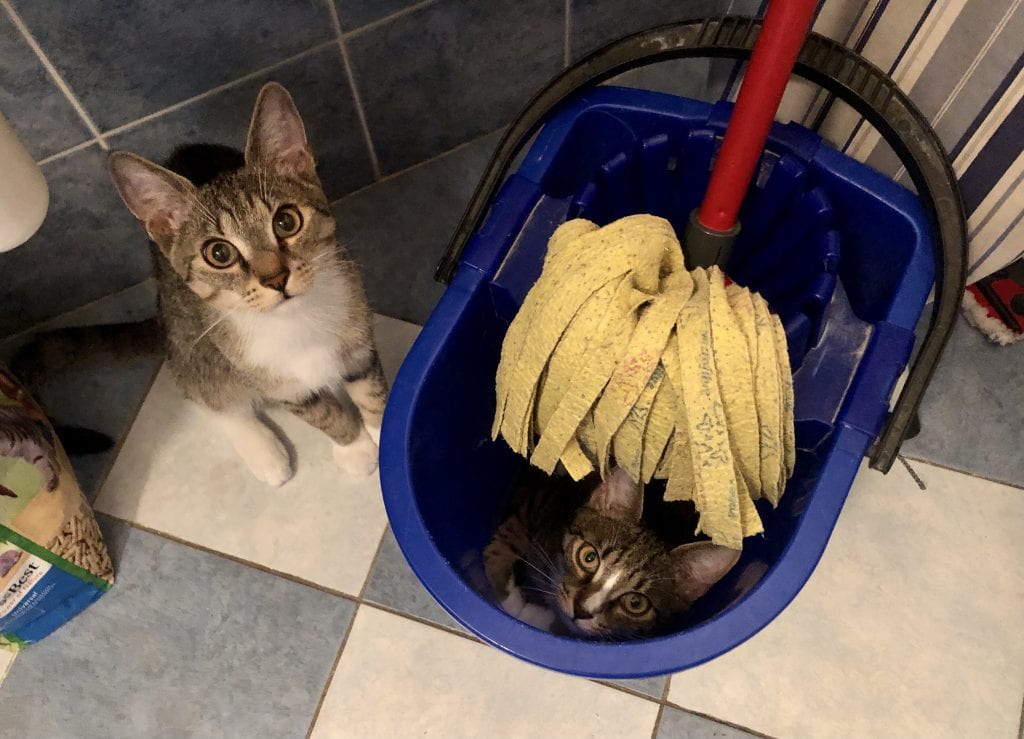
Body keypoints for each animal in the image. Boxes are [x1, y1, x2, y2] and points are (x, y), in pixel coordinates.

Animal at [101, 81, 385, 483]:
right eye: (219, 253)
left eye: (286, 221)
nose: (276, 278)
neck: (296, 321)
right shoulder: (278, 384)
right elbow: (323, 413)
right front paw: (355, 447)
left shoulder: (358, 338)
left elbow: (368, 388)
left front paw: (385, 434)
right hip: (191, 341)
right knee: (211, 394)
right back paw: (263, 453)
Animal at [483, 466, 741, 634]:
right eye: (589, 557)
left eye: (635, 603)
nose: (581, 610)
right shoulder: (539, 496)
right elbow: (508, 536)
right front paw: (507, 597)